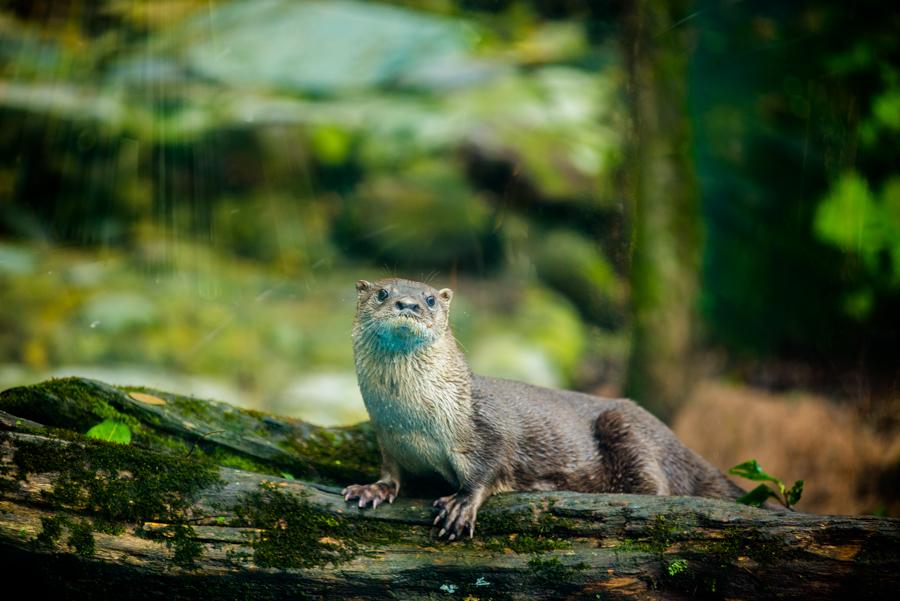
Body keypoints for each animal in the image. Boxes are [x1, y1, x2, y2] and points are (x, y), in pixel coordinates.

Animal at [342, 278, 740, 540]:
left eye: (429, 300)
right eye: (382, 293)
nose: (408, 305)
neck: (413, 421)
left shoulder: (487, 427)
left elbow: (490, 465)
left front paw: (461, 505)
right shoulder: (388, 439)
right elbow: (392, 474)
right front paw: (373, 489)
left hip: (624, 426)